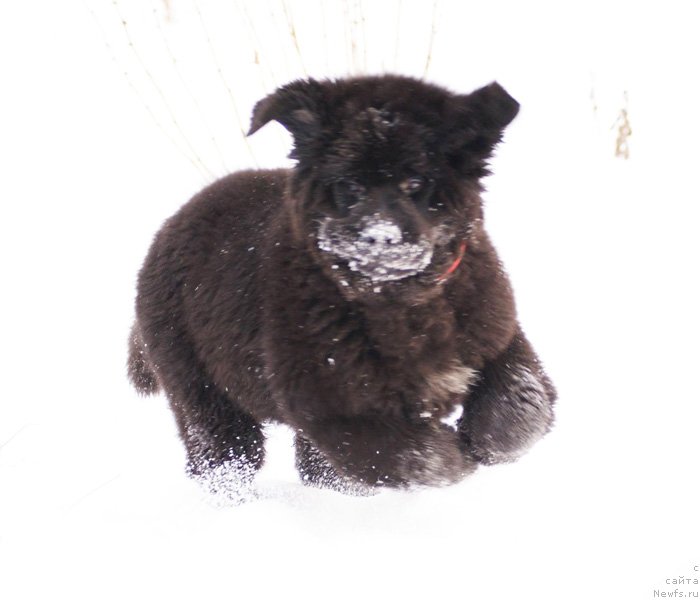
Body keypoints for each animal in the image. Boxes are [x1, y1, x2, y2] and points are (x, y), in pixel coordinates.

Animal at [129, 75, 556, 494]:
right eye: (349, 184)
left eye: (416, 181)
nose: (380, 237)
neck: (399, 303)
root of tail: (169, 227)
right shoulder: (330, 403)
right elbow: (405, 455)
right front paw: (455, 460)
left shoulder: (497, 334)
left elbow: (523, 400)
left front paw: (486, 443)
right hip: (199, 387)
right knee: (225, 457)